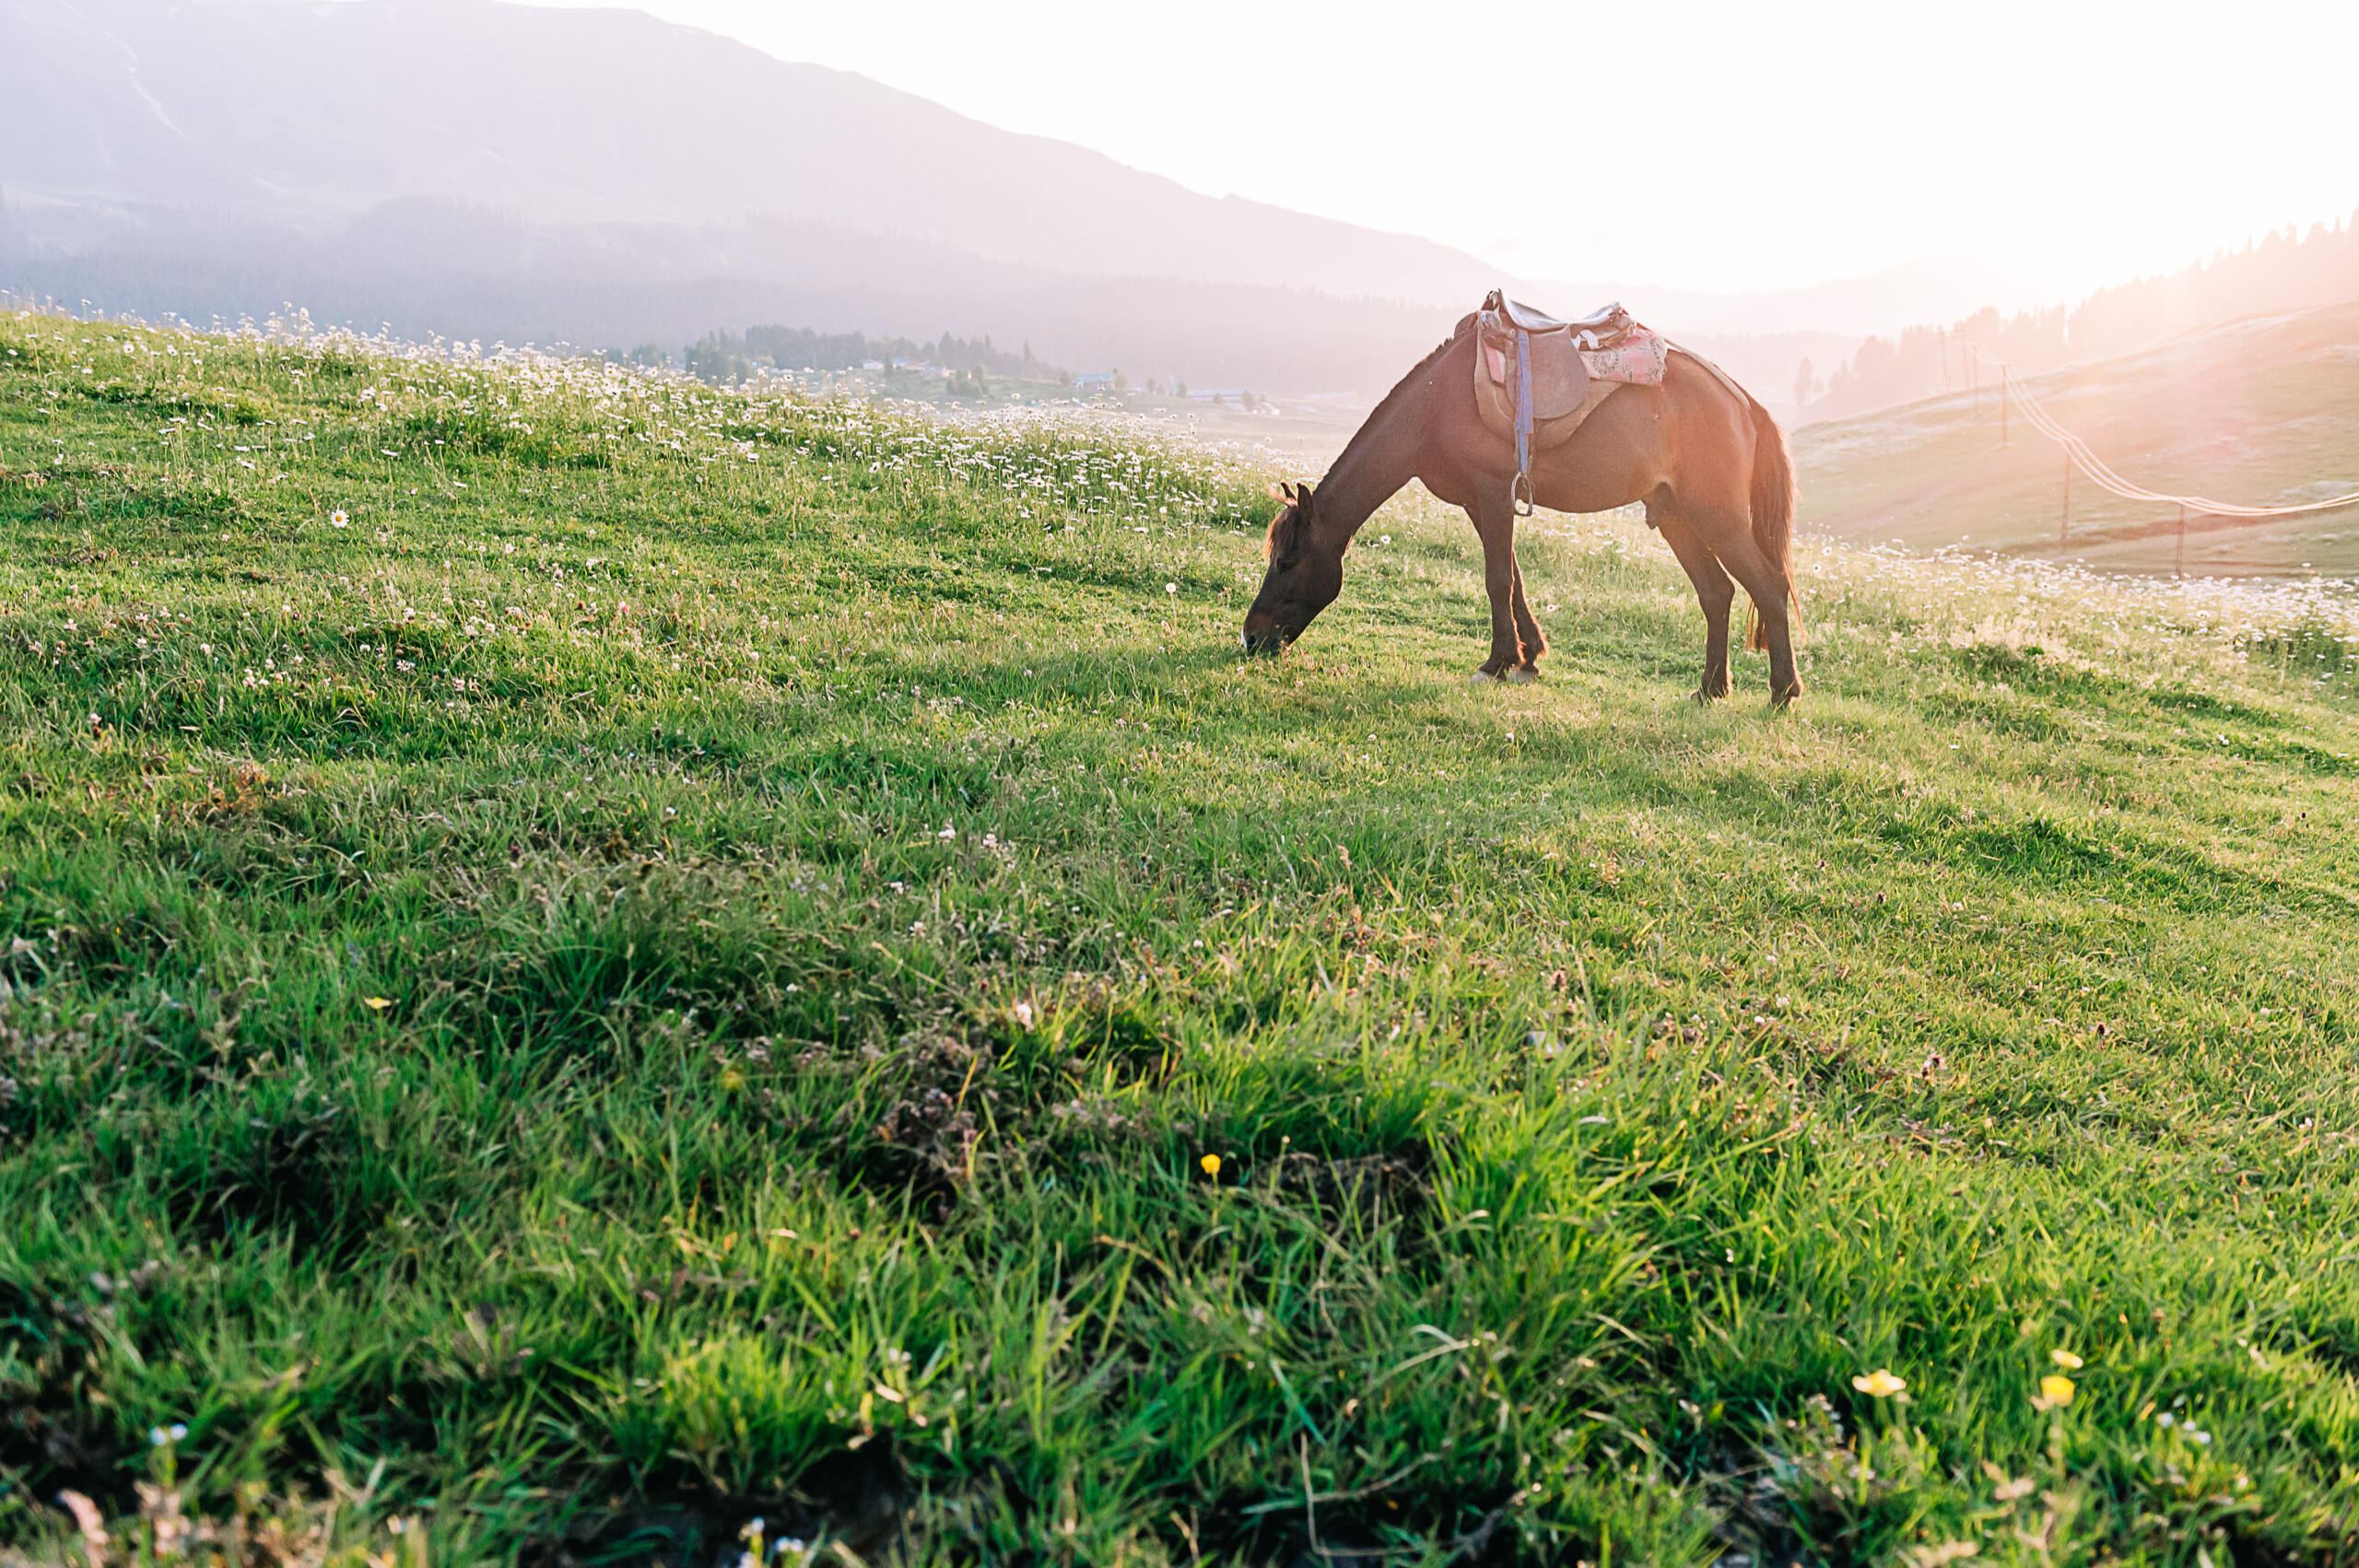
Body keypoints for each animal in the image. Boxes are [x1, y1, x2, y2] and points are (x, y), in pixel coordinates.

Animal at [1241, 311, 1804, 705]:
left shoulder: (1492, 495)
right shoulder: (1481, 502)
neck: (1434, 406)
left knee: (1769, 587)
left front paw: (1496, 662)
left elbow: (1497, 580)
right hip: (1675, 517)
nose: (1251, 637)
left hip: (1717, 519)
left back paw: (1782, 691)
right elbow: (1512, 579)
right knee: (1717, 593)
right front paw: (1528, 656)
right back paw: (1711, 689)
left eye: (1286, 562)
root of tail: (1740, 399)